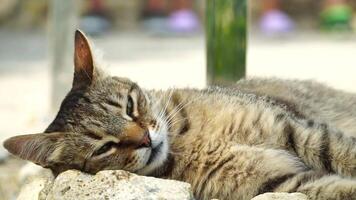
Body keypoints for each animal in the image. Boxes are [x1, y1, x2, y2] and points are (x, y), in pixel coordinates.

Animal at [4, 30, 356, 200]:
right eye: (105, 147)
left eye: (129, 107)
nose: (145, 139)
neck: (189, 141)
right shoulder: (284, 182)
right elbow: (337, 187)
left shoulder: (298, 130)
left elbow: (345, 153)